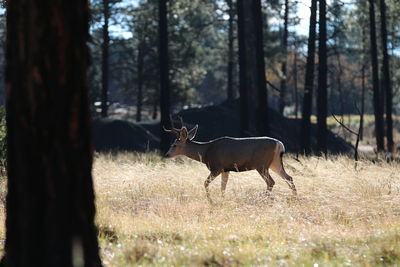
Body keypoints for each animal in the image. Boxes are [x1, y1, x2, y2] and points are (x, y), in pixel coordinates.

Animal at [163, 119, 296, 203]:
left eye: (174, 145)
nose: (166, 154)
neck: (206, 152)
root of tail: (279, 145)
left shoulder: (216, 167)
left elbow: (205, 183)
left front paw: (211, 200)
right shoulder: (226, 169)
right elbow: (223, 187)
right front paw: (222, 200)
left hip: (261, 164)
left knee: (271, 182)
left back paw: (265, 199)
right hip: (274, 163)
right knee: (288, 177)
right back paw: (295, 198)